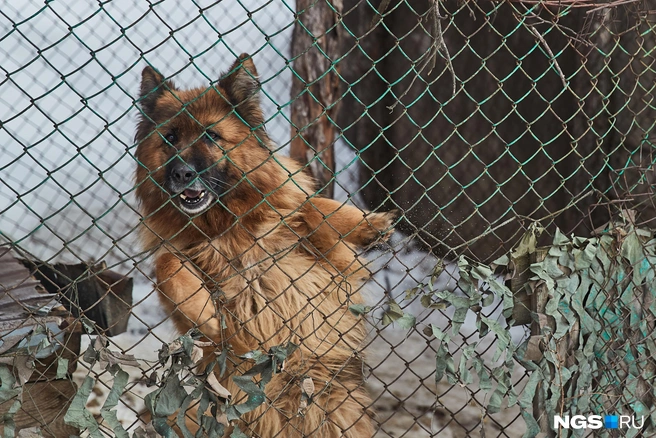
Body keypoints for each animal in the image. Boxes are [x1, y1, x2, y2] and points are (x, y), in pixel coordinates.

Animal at [131, 53, 392, 436]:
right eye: (171, 138)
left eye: (211, 136)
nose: (181, 174)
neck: (225, 226)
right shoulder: (176, 259)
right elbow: (166, 266)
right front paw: (209, 316)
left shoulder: (336, 265)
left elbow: (311, 207)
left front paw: (368, 224)